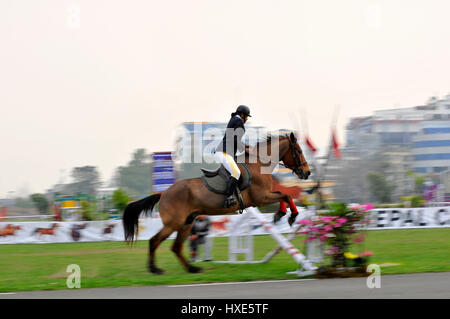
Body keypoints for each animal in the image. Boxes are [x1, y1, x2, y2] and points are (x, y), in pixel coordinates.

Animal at [125, 132, 312, 276]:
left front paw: (282, 214)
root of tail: (163, 193)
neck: (259, 164)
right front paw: (289, 215)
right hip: (174, 223)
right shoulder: (261, 198)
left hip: (187, 222)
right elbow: (286, 195)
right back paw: (155, 269)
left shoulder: (264, 197)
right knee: (154, 241)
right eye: (299, 151)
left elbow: (285, 196)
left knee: (176, 247)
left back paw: (192, 269)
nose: (307, 173)